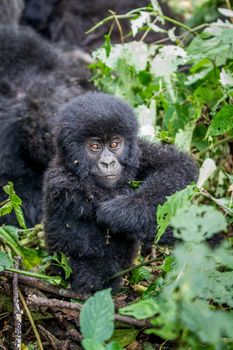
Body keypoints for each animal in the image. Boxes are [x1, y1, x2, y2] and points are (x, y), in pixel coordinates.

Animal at [43, 91, 197, 294]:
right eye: (95, 146)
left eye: (114, 144)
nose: (108, 163)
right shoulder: (62, 183)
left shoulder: (139, 152)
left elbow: (177, 165)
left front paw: (122, 212)